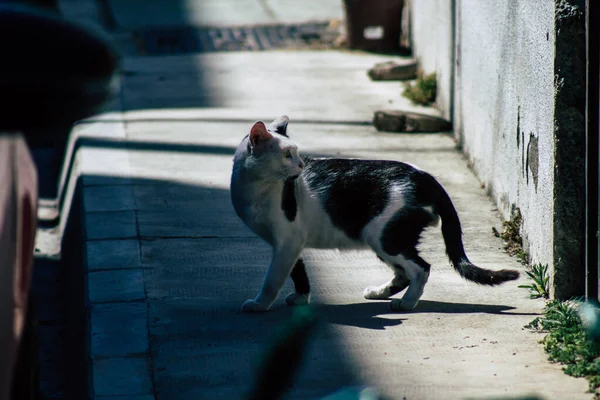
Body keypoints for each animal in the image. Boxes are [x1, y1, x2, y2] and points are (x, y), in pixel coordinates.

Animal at [230, 115, 520, 312]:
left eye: (297, 153)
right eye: (287, 155)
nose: (301, 165)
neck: (253, 189)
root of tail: (426, 178)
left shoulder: (287, 240)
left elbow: (273, 279)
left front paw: (259, 304)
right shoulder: (293, 244)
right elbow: (297, 271)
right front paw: (301, 297)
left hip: (383, 236)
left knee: (421, 268)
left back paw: (406, 303)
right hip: (382, 238)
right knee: (403, 273)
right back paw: (380, 292)